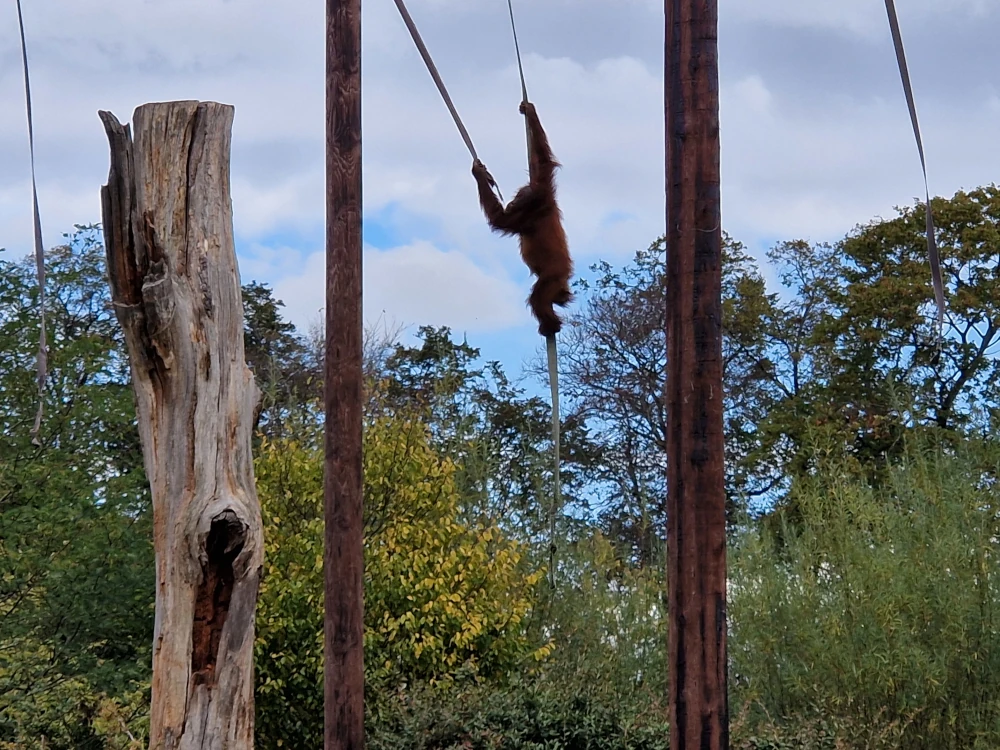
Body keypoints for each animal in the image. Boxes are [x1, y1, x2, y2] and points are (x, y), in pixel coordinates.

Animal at [471, 101, 573, 338]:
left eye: (517, 198)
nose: (511, 203)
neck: (538, 202)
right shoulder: (541, 193)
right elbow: (539, 162)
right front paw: (529, 112)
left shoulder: (533, 209)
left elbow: (500, 220)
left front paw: (479, 174)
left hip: (552, 277)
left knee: (538, 298)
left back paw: (550, 325)